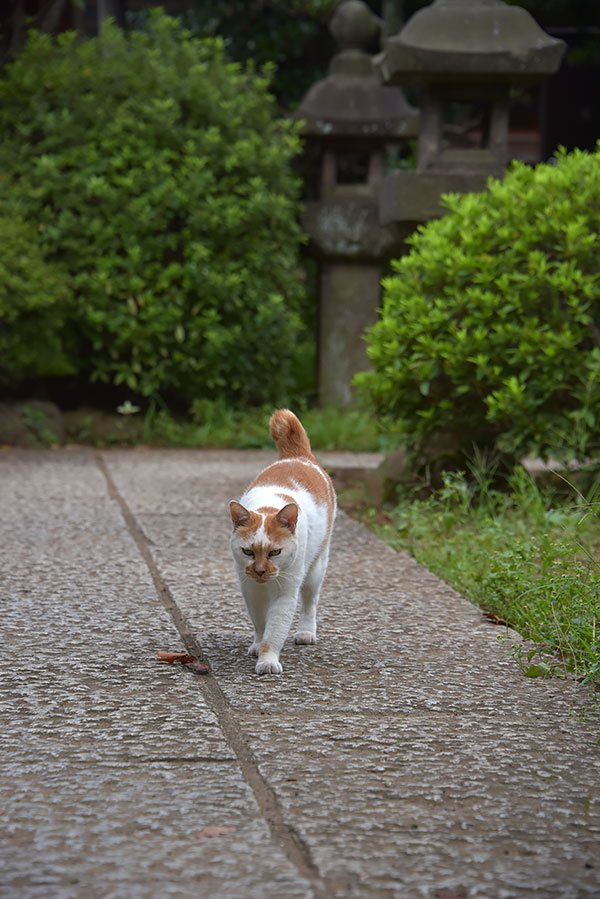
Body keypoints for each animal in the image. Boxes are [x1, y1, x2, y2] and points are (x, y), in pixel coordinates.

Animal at [229, 410, 336, 676]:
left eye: (275, 552)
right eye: (247, 551)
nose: (260, 570)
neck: (268, 505)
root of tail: (297, 456)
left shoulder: (286, 593)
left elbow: (275, 630)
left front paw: (267, 660)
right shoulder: (251, 590)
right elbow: (260, 624)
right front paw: (257, 646)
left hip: (315, 569)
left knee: (310, 602)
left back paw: (306, 632)